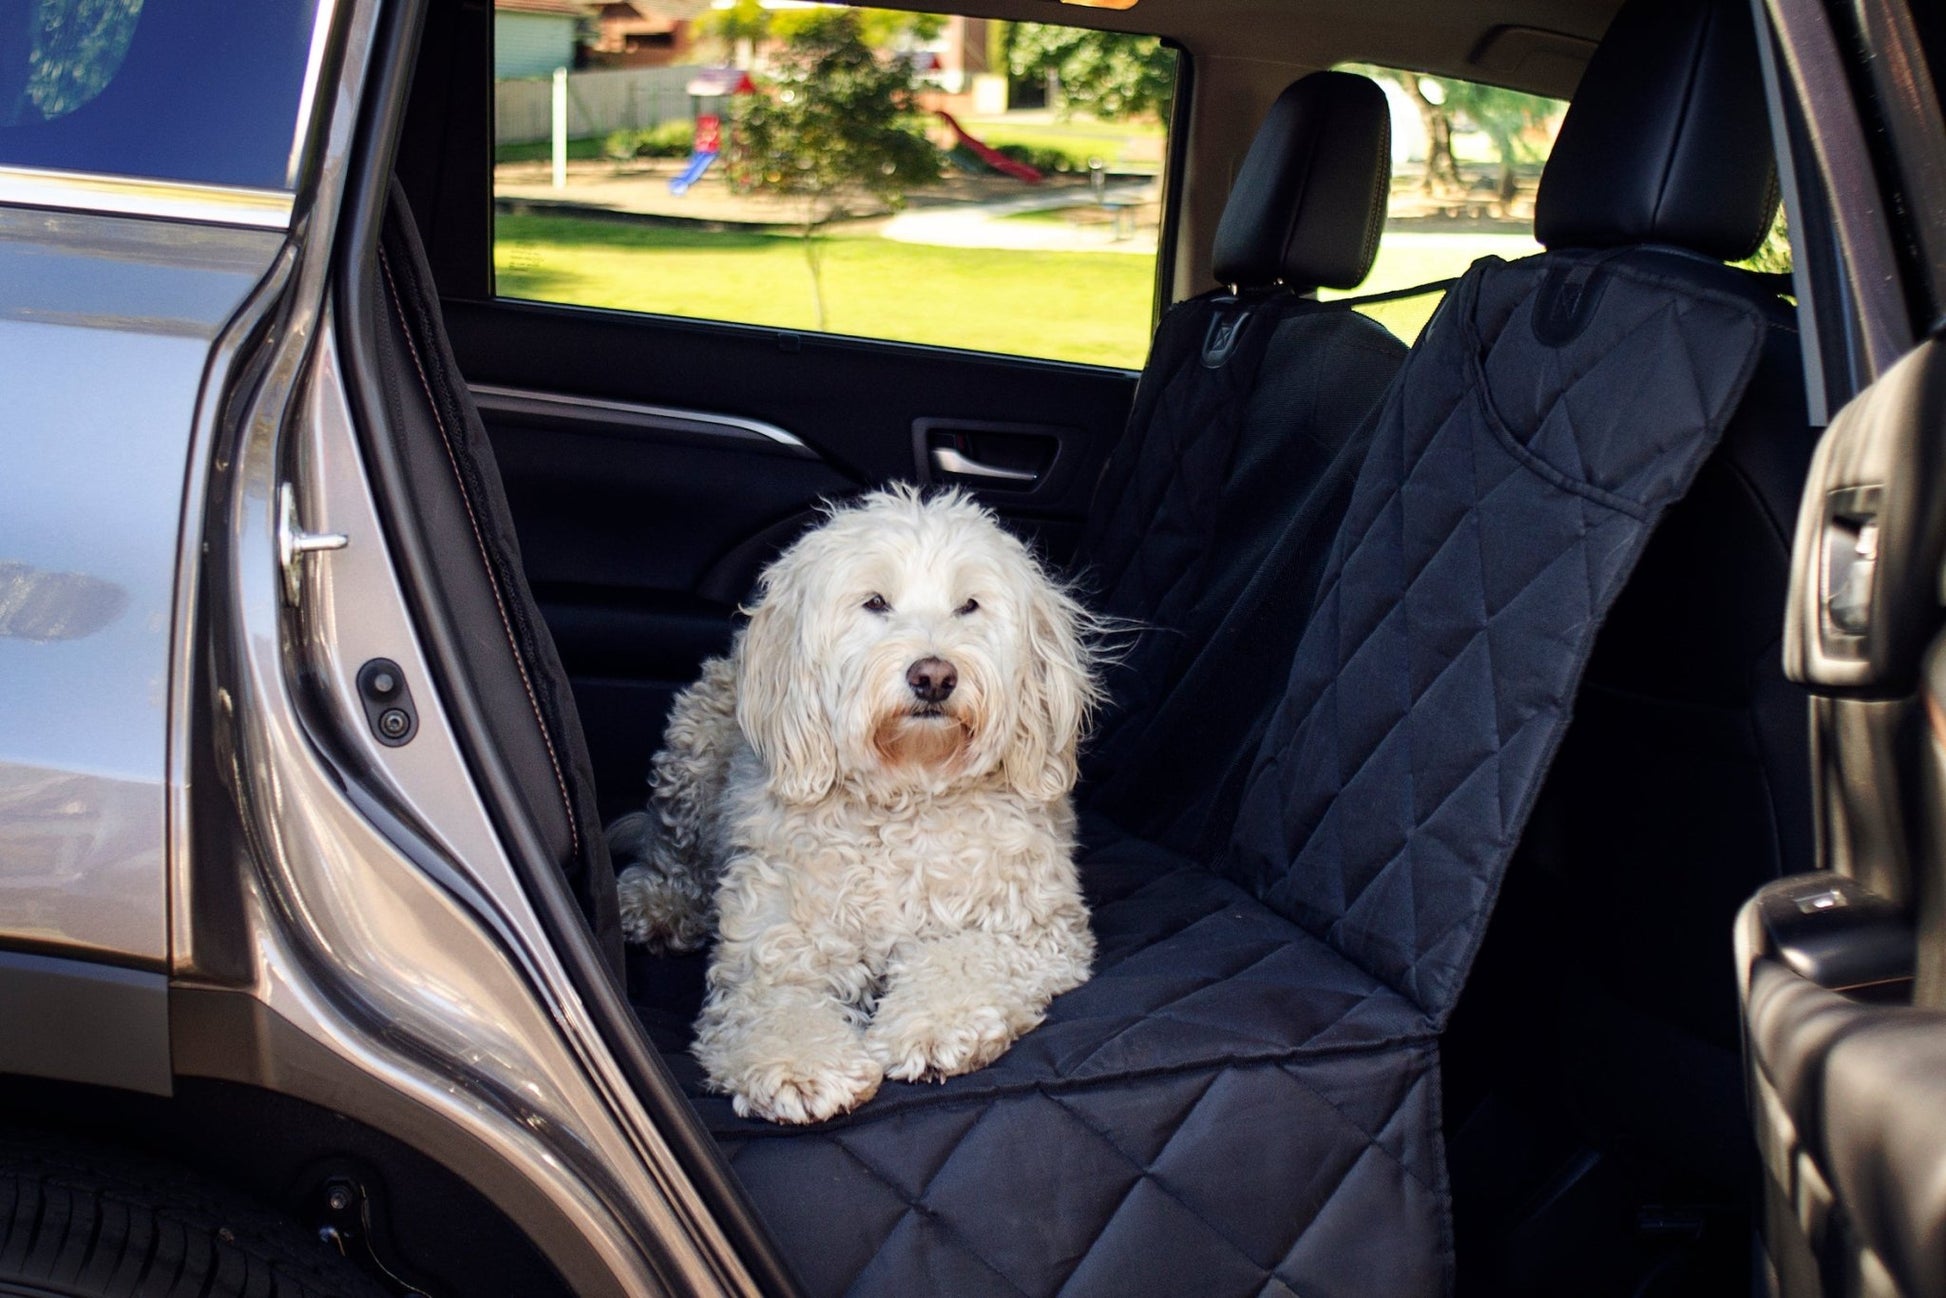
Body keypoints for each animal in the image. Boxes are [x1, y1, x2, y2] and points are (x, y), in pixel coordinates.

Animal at [607, 486, 1105, 1128]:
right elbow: (778, 1006)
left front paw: (933, 1028)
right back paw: (658, 904)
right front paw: (797, 1068)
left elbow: (962, 959)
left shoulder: (1034, 930)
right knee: (673, 854)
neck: (905, 797)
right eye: (874, 602)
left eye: (969, 605)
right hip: (690, 763)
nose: (934, 675)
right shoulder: (777, 945)